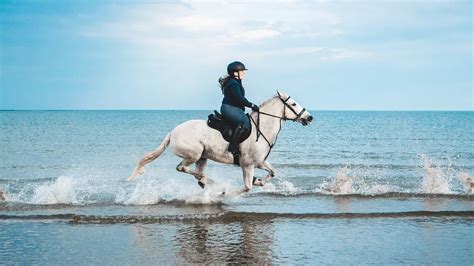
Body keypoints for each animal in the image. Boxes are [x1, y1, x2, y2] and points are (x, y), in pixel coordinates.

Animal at [128, 91, 312, 193]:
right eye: (293, 103)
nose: (309, 117)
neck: (261, 128)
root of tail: (172, 133)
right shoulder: (247, 165)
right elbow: (247, 187)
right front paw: (225, 193)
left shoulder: (259, 162)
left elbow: (273, 172)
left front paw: (259, 181)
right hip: (194, 154)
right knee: (182, 168)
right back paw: (213, 183)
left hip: (202, 157)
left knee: (195, 172)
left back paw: (205, 181)